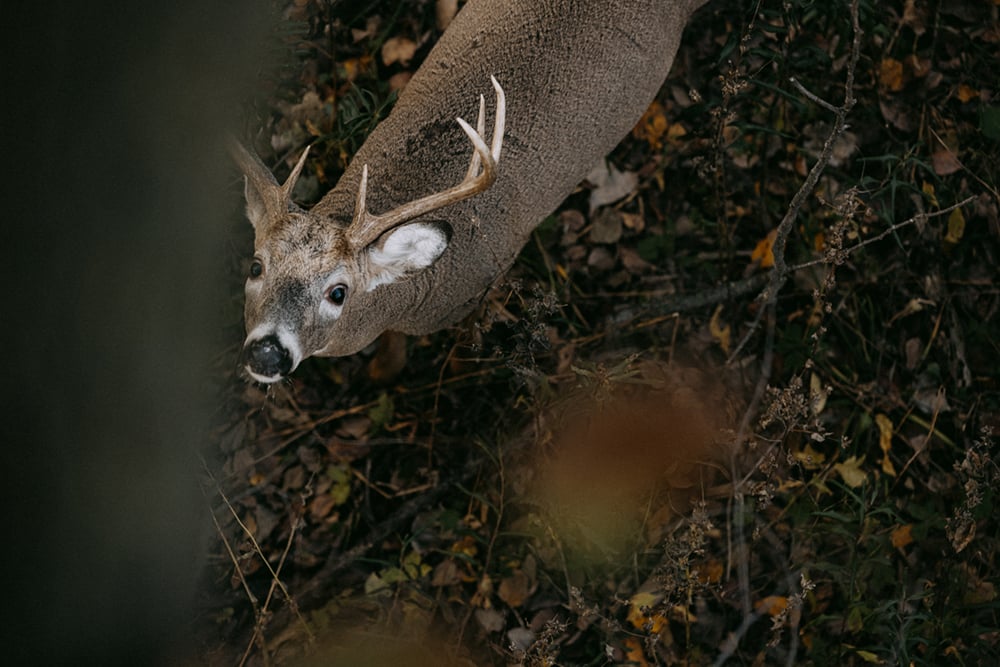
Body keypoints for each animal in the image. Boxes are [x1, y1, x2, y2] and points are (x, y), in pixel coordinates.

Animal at [231, 0, 707, 383]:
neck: (408, 297)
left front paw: (455, 369)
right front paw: (381, 374)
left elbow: (466, 339)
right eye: (255, 266)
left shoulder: (479, 288)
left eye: (339, 292)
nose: (267, 353)